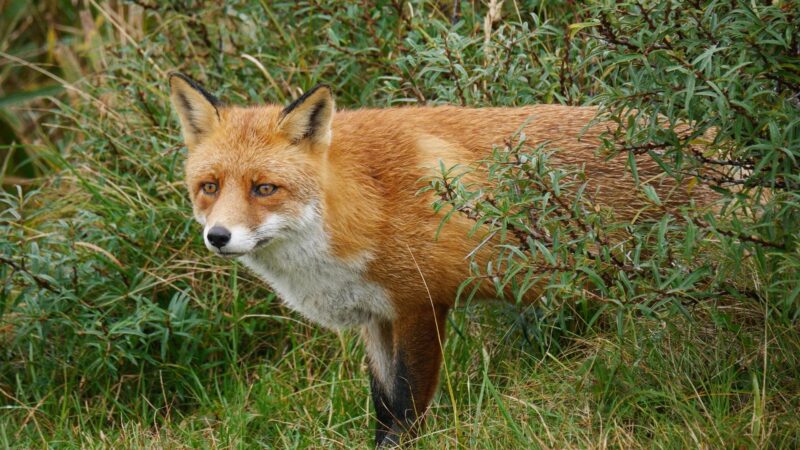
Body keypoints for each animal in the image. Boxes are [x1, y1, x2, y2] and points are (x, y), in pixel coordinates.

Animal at [169, 72, 700, 444]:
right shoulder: (376, 317)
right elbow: (383, 407)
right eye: (209, 187)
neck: (365, 203)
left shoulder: (421, 304)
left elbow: (406, 406)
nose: (218, 236)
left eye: (264, 189)